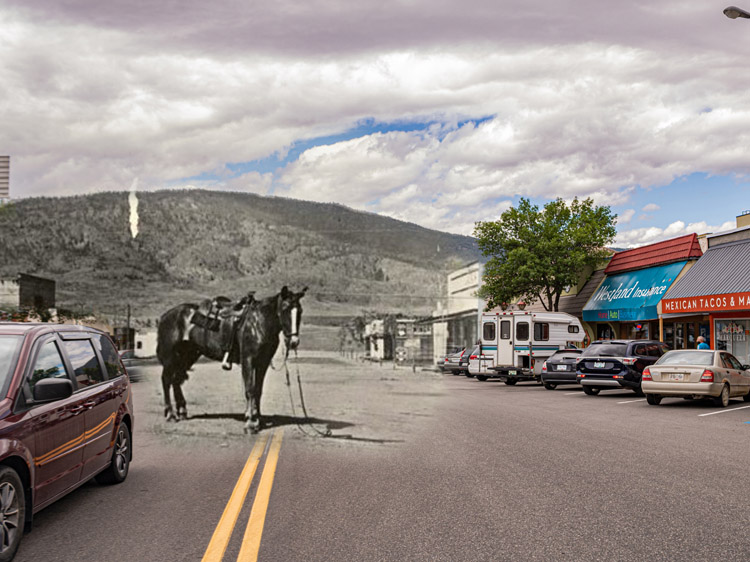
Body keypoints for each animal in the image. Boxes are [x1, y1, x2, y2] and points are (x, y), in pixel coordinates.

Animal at [156, 286, 308, 430]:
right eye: (285, 309)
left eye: (300, 311)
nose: (294, 342)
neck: (258, 324)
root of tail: (165, 316)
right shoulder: (248, 360)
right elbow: (249, 390)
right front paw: (250, 422)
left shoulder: (262, 363)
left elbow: (258, 390)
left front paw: (257, 419)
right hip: (171, 357)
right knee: (166, 380)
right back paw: (170, 414)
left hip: (188, 356)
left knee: (176, 380)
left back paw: (182, 411)